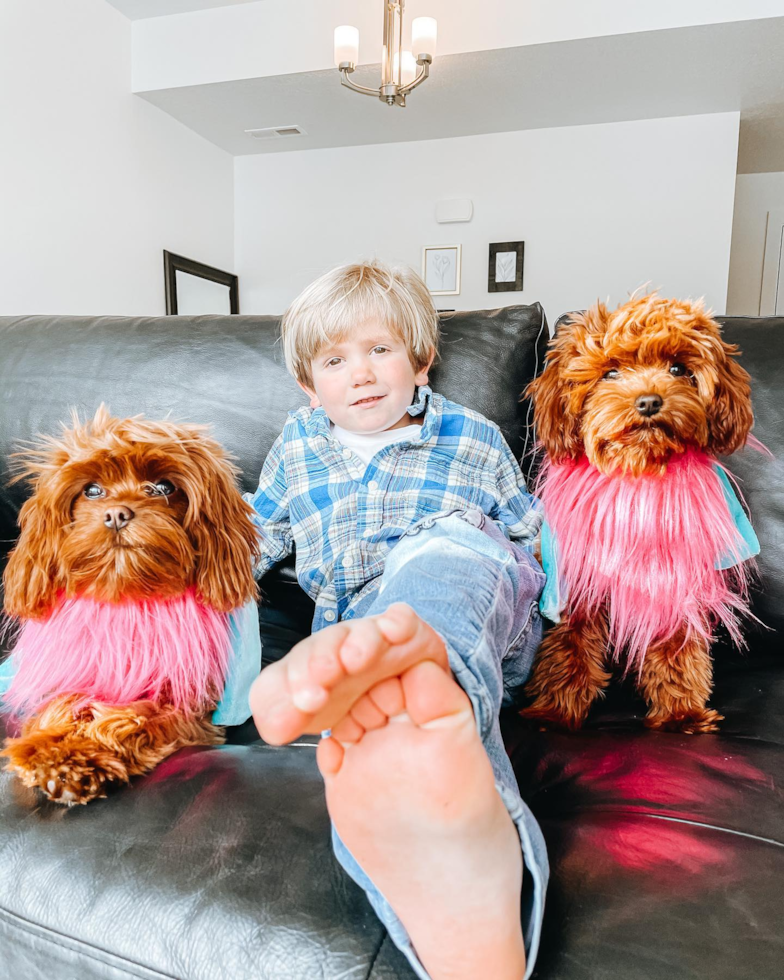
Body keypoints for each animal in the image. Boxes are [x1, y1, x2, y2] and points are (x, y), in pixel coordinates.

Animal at [1, 406, 262, 804]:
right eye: (92, 490)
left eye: (165, 487)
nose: (117, 514)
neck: (129, 597)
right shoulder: (77, 671)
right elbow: (62, 703)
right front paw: (48, 748)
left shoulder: (187, 705)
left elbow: (135, 717)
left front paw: (75, 760)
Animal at [520, 294, 760, 732]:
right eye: (610, 372)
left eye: (678, 368)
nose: (648, 401)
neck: (639, 472)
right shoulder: (577, 580)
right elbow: (568, 643)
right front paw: (557, 710)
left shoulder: (676, 579)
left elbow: (678, 644)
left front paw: (681, 711)